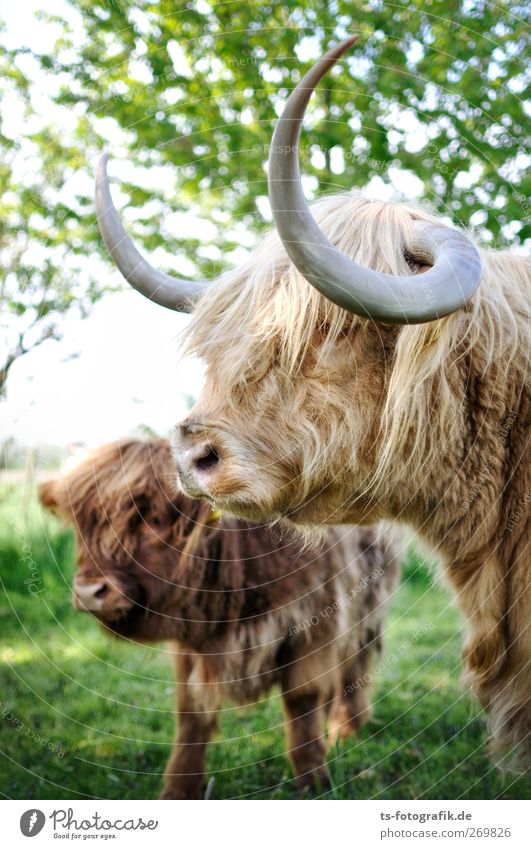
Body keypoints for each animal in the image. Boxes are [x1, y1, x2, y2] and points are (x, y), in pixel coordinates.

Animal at [39, 440, 402, 800]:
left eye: (154, 519)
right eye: (84, 525)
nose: (89, 591)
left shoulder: (315, 624)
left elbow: (302, 698)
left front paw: (313, 780)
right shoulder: (192, 642)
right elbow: (191, 712)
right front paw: (178, 788)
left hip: (367, 611)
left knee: (354, 667)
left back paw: (346, 730)